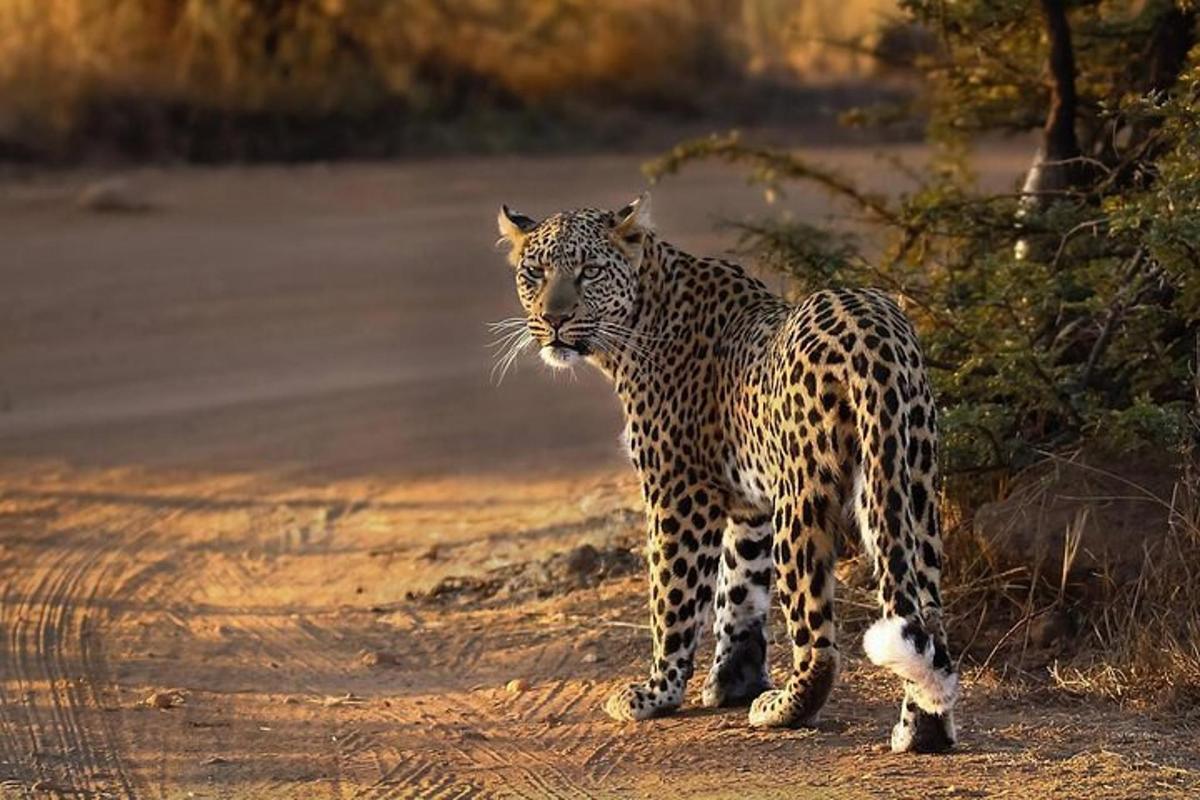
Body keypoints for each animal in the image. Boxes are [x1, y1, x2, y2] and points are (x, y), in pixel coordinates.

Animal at [492, 191, 960, 753]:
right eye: (534, 273)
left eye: (589, 272)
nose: (555, 319)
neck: (639, 321)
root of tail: (876, 333)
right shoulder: (747, 503)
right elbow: (738, 592)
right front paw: (734, 681)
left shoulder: (679, 492)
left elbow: (673, 598)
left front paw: (656, 693)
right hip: (911, 481)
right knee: (923, 609)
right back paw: (923, 730)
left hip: (803, 499)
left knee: (818, 640)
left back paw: (784, 709)